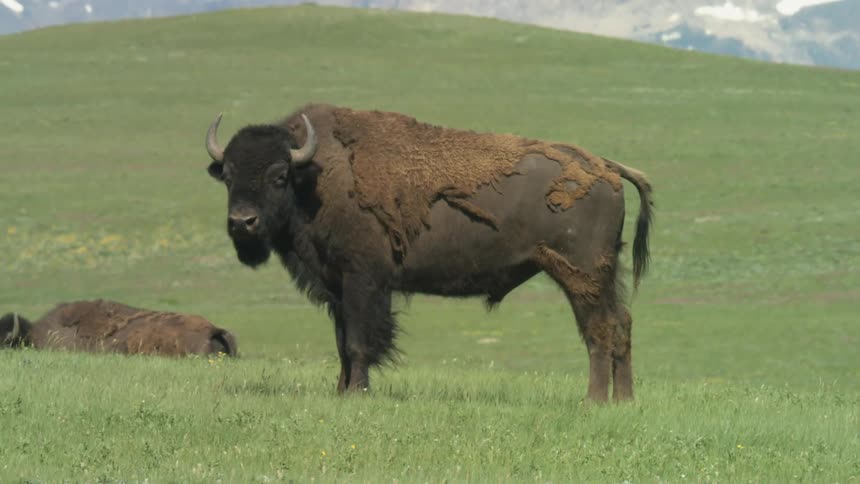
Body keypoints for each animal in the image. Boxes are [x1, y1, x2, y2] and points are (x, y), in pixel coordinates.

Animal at [204, 103, 653, 402]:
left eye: (278, 175)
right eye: (227, 175)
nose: (242, 222)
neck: (315, 176)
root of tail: (606, 168)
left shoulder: (363, 281)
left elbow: (359, 342)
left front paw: (358, 393)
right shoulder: (336, 288)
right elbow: (342, 343)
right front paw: (341, 390)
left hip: (581, 275)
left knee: (599, 329)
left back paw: (593, 400)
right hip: (604, 275)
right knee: (622, 323)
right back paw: (624, 400)